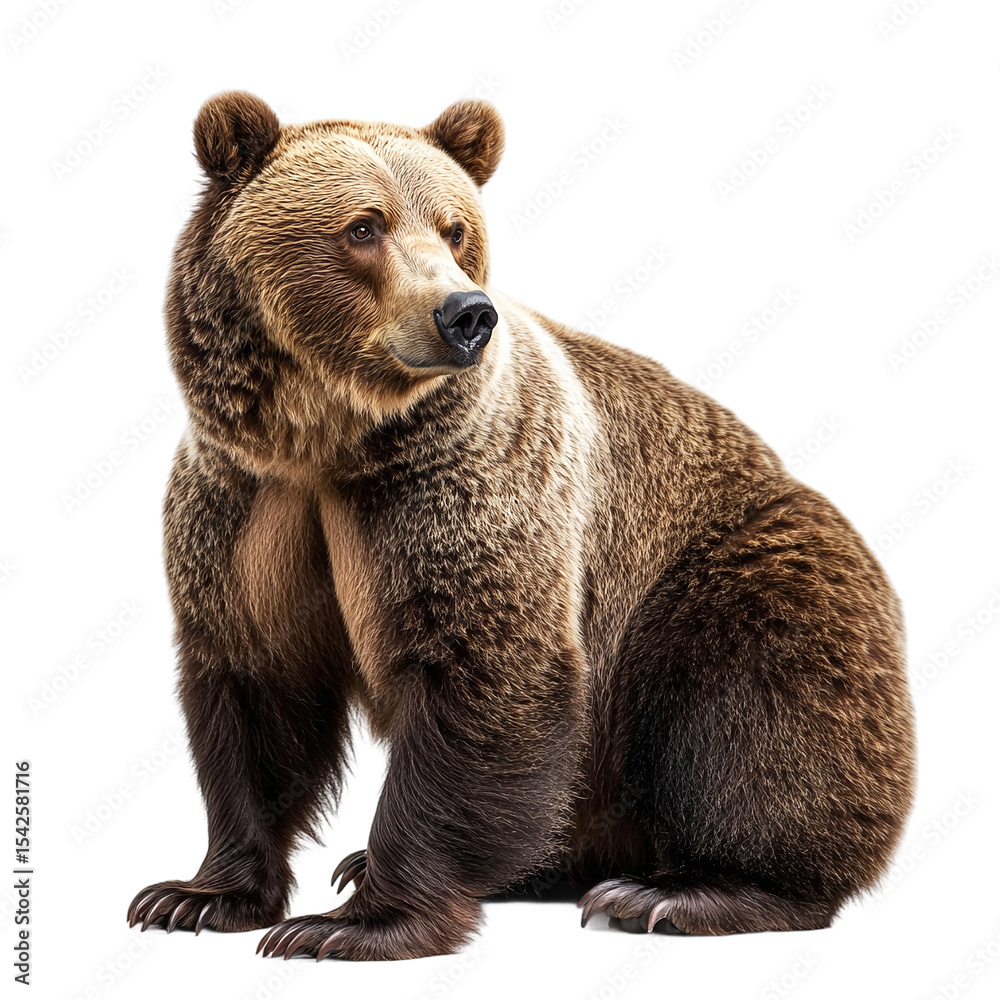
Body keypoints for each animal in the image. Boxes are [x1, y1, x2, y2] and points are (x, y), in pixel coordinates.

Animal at [127, 92, 916, 961]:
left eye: (454, 229)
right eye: (364, 225)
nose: (465, 314)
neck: (331, 440)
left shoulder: (463, 492)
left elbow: (485, 672)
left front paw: (353, 923)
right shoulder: (244, 508)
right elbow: (255, 687)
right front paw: (197, 896)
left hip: (730, 575)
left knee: (752, 708)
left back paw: (681, 892)